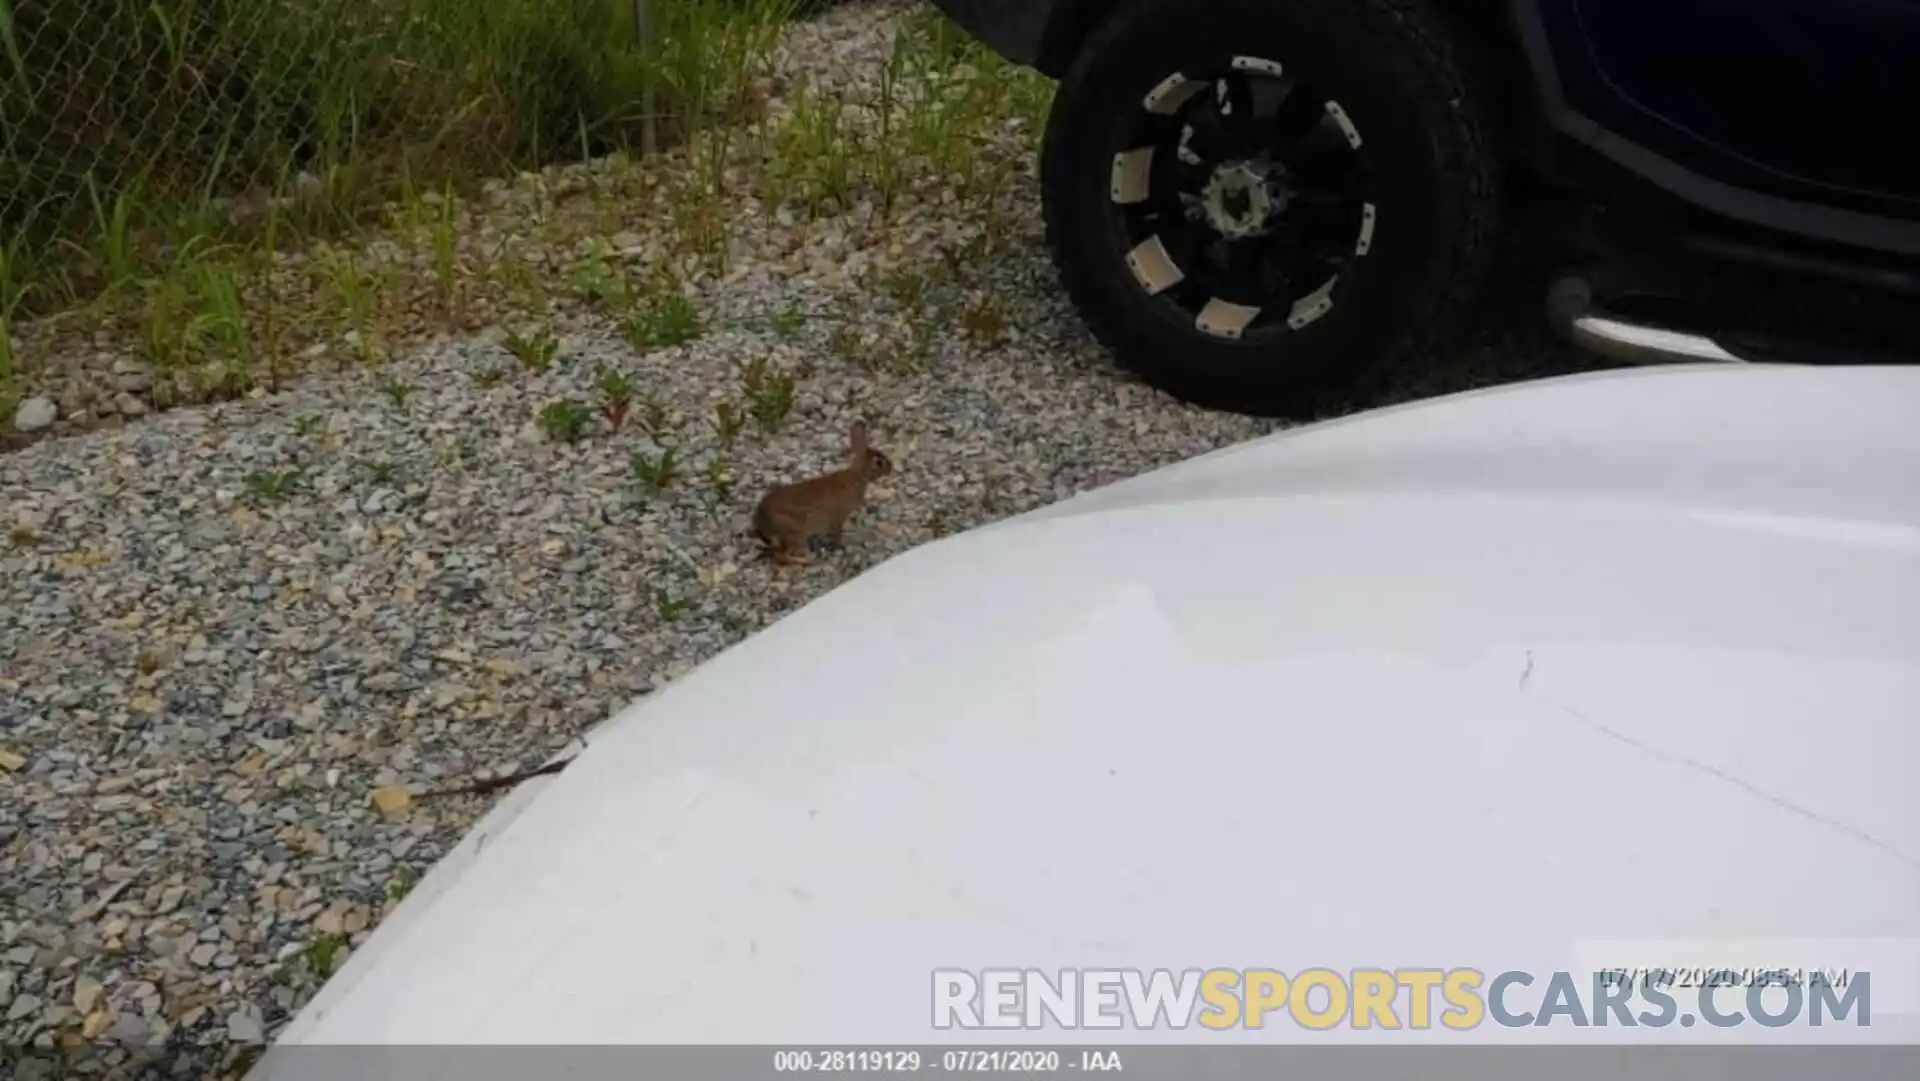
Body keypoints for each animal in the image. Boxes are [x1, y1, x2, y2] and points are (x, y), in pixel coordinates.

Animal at [752, 420, 894, 568]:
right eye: (879, 462)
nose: (891, 467)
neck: (857, 476)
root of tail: (761, 522)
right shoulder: (837, 518)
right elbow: (836, 533)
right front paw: (839, 545)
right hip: (795, 533)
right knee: (781, 557)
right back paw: (810, 560)